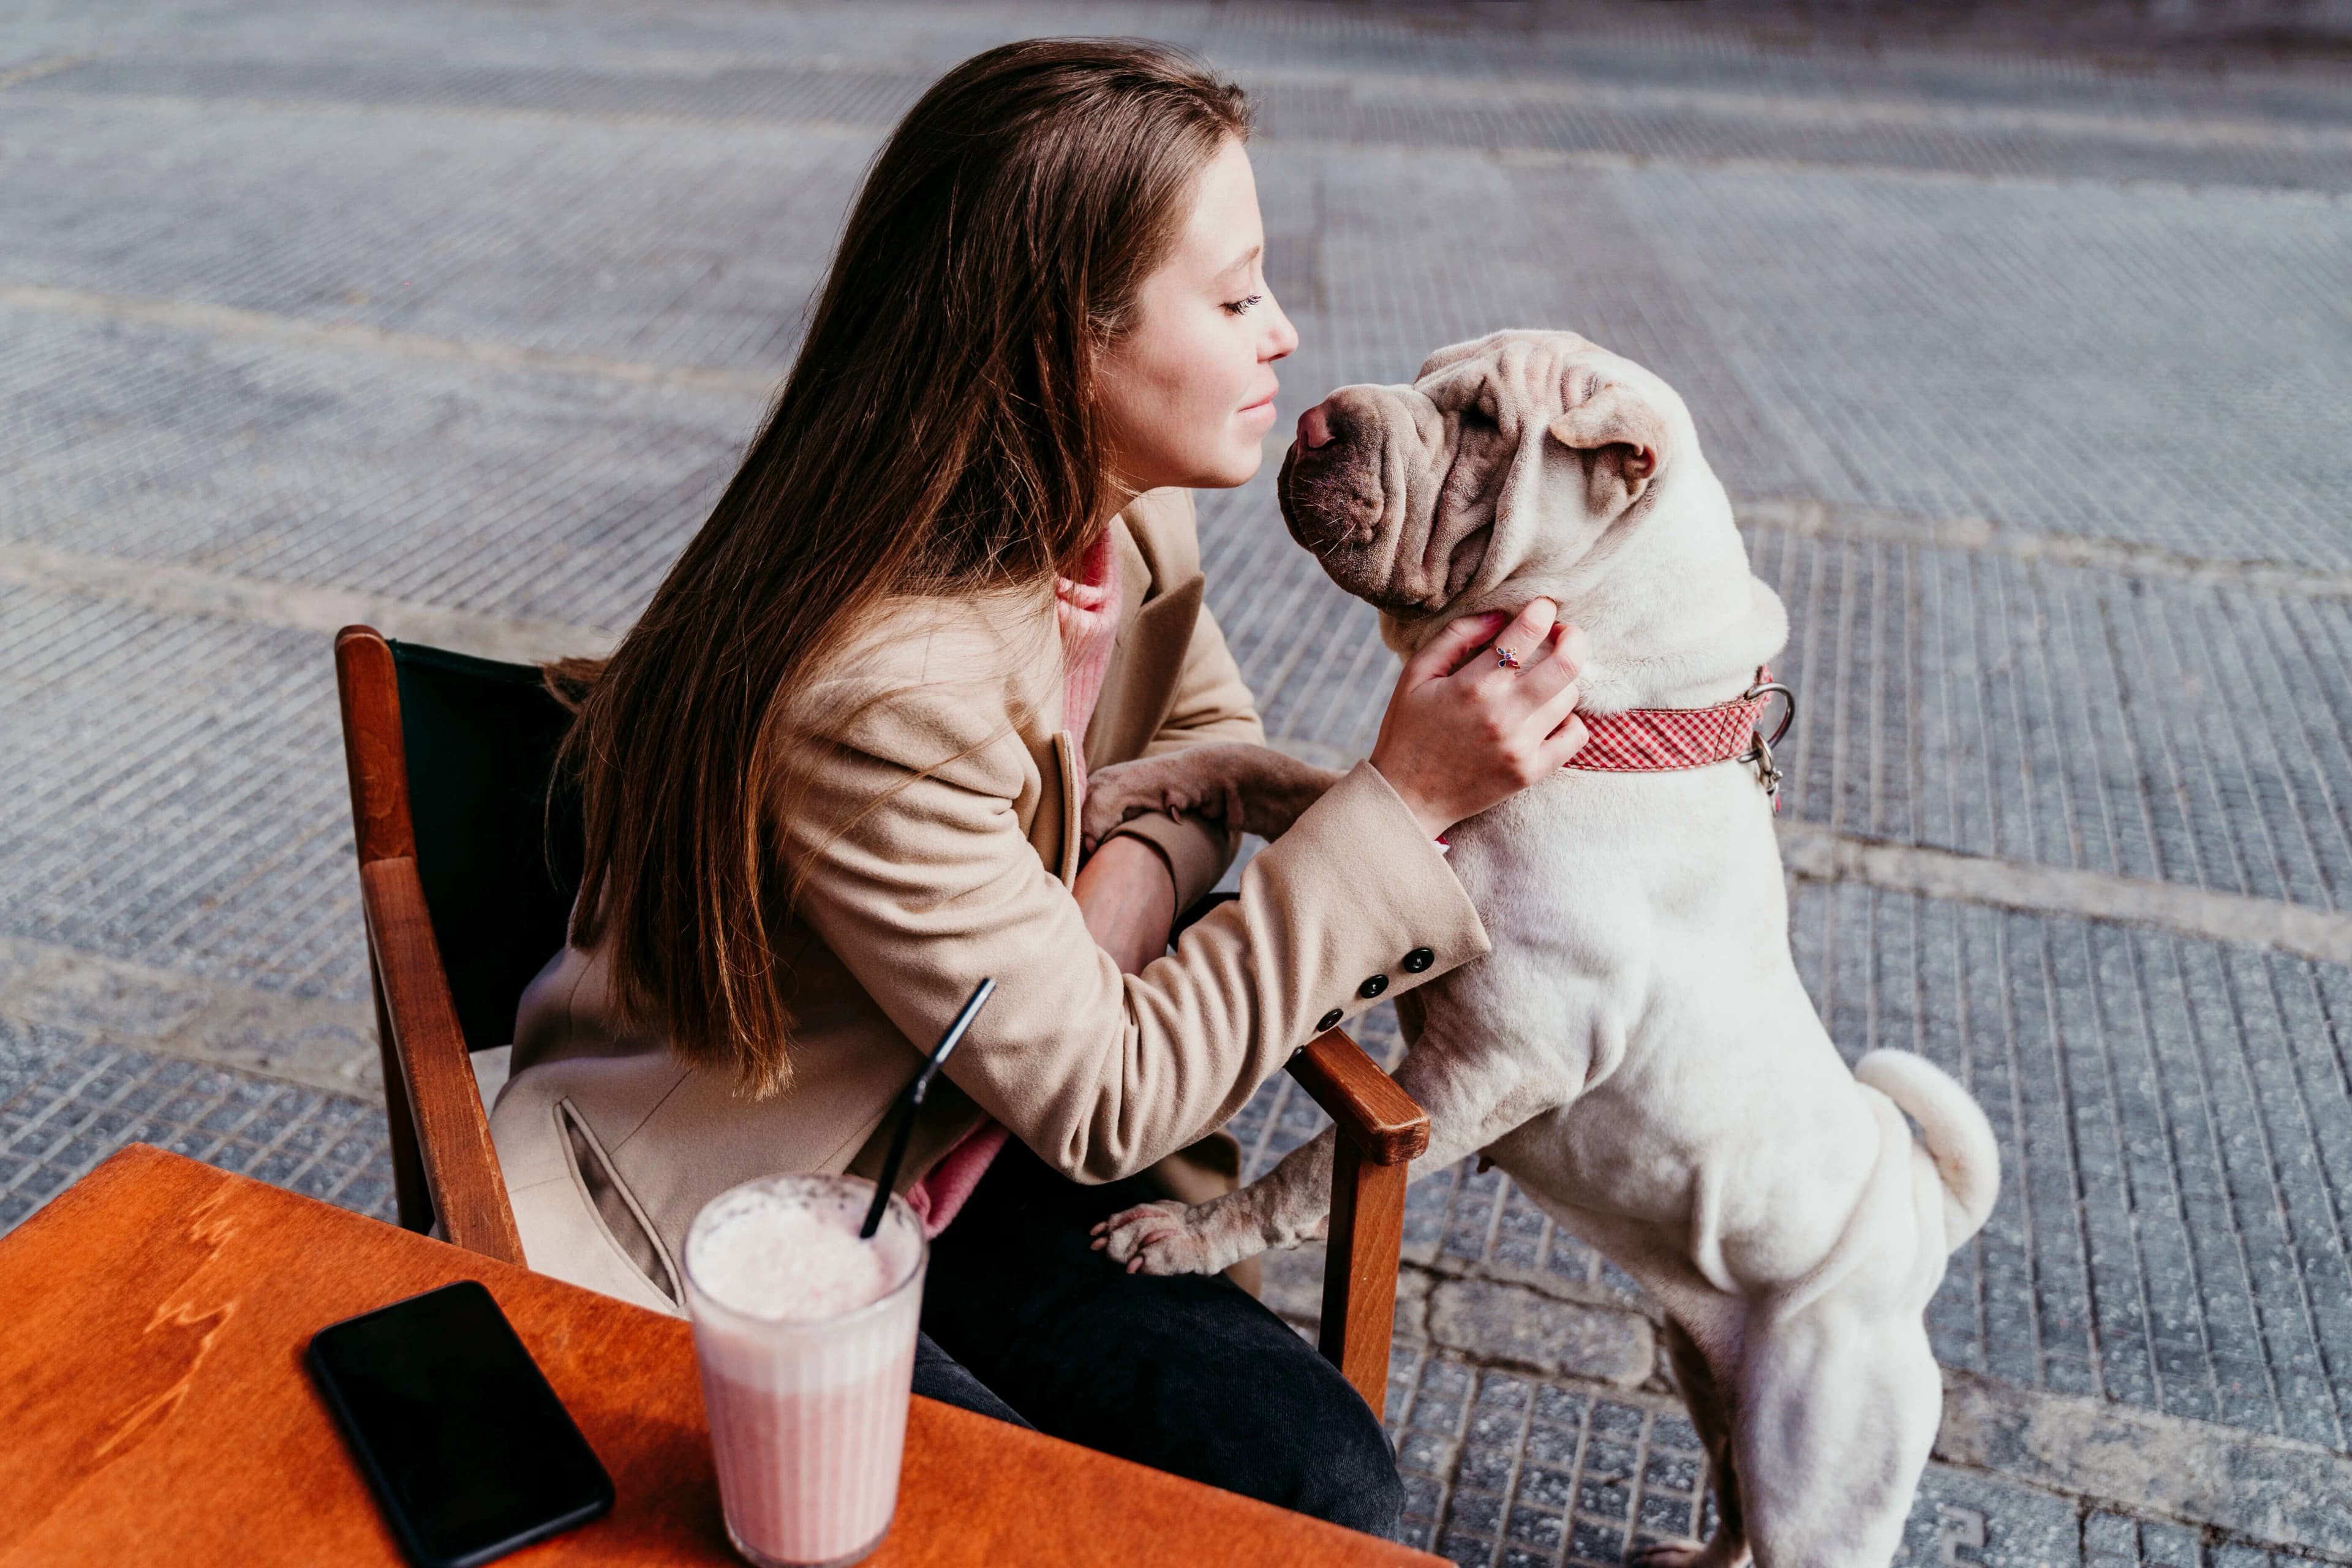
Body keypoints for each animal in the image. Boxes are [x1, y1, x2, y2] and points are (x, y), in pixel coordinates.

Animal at [1091, 331, 1994, 1568]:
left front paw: (1185, 1236)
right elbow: (1266, 770)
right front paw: (1128, 785)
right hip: (1705, 1373)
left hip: (1821, 1476)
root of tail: (1918, 1222)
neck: (1611, 717)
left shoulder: (1497, 1065)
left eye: (1481, 424)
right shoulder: (1405, 822)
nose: (1318, 418)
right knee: (1730, 1497)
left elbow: (1306, 1172)